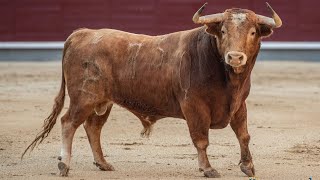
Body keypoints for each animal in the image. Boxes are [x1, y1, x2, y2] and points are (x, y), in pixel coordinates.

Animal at [23, 2, 282, 179]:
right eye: (224, 31)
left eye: (253, 32)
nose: (235, 57)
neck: (228, 79)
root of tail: (83, 33)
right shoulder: (194, 106)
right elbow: (201, 139)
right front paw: (208, 168)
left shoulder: (239, 104)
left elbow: (243, 135)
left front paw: (248, 166)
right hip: (84, 97)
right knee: (68, 123)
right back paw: (64, 164)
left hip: (102, 101)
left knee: (92, 127)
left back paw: (103, 164)